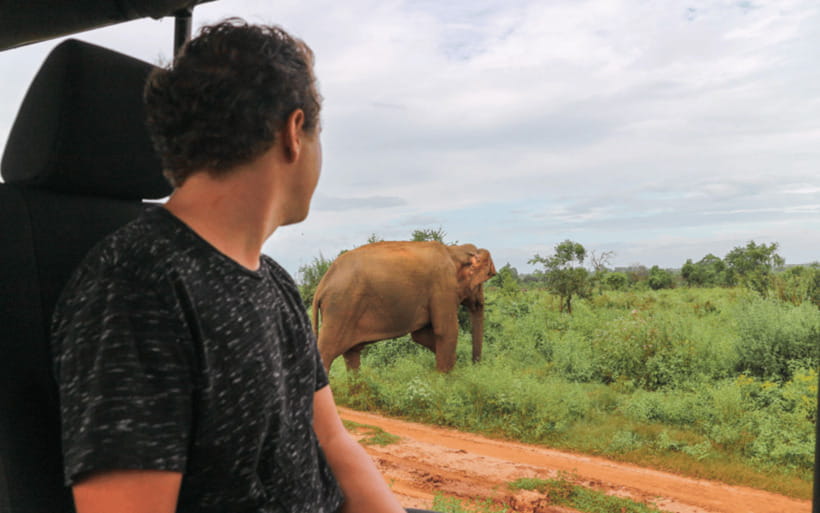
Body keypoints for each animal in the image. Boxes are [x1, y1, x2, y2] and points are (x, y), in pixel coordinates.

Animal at [311, 241, 496, 373]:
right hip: (340, 308)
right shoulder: (443, 286)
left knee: (352, 354)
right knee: (326, 352)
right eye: (481, 283)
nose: (475, 366)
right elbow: (446, 331)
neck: (454, 251)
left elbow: (421, 336)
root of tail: (321, 286)